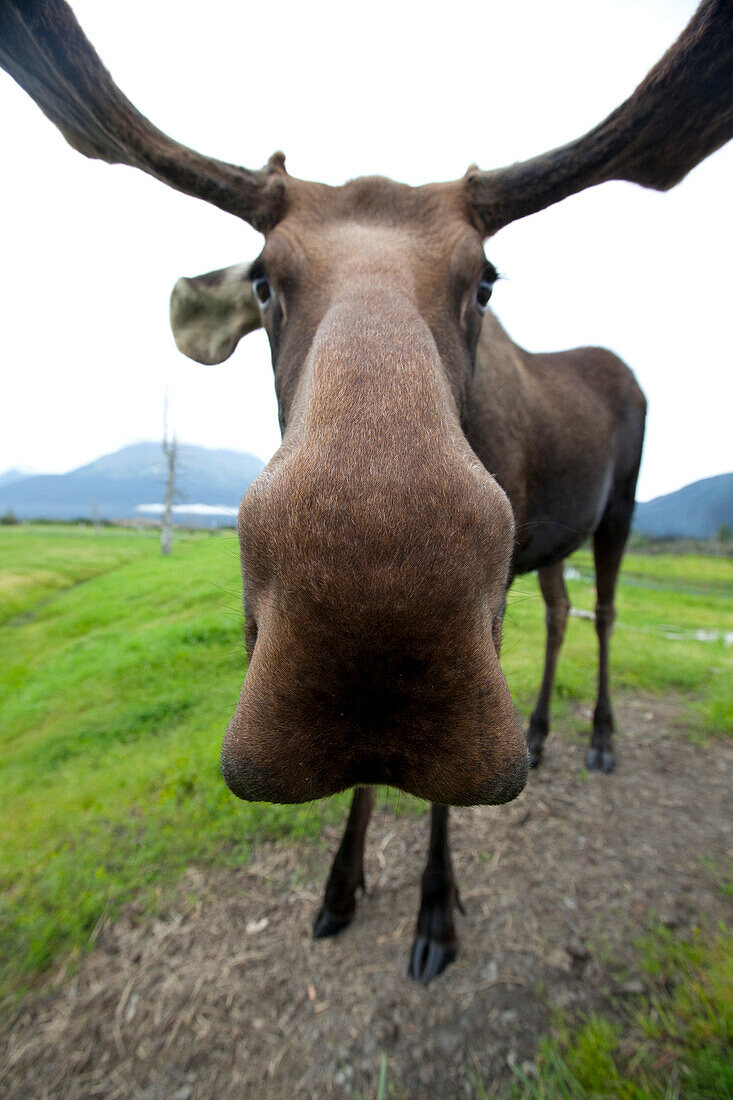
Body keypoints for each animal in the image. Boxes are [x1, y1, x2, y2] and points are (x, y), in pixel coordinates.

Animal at [2, 0, 726, 981]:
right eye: (262, 280)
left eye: (484, 280)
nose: (373, 610)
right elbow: (366, 786)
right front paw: (340, 888)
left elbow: (437, 803)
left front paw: (436, 913)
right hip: (549, 535)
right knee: (561, 609)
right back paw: (539, 731)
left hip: (620, 509)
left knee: (606, 611)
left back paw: (601, 740)